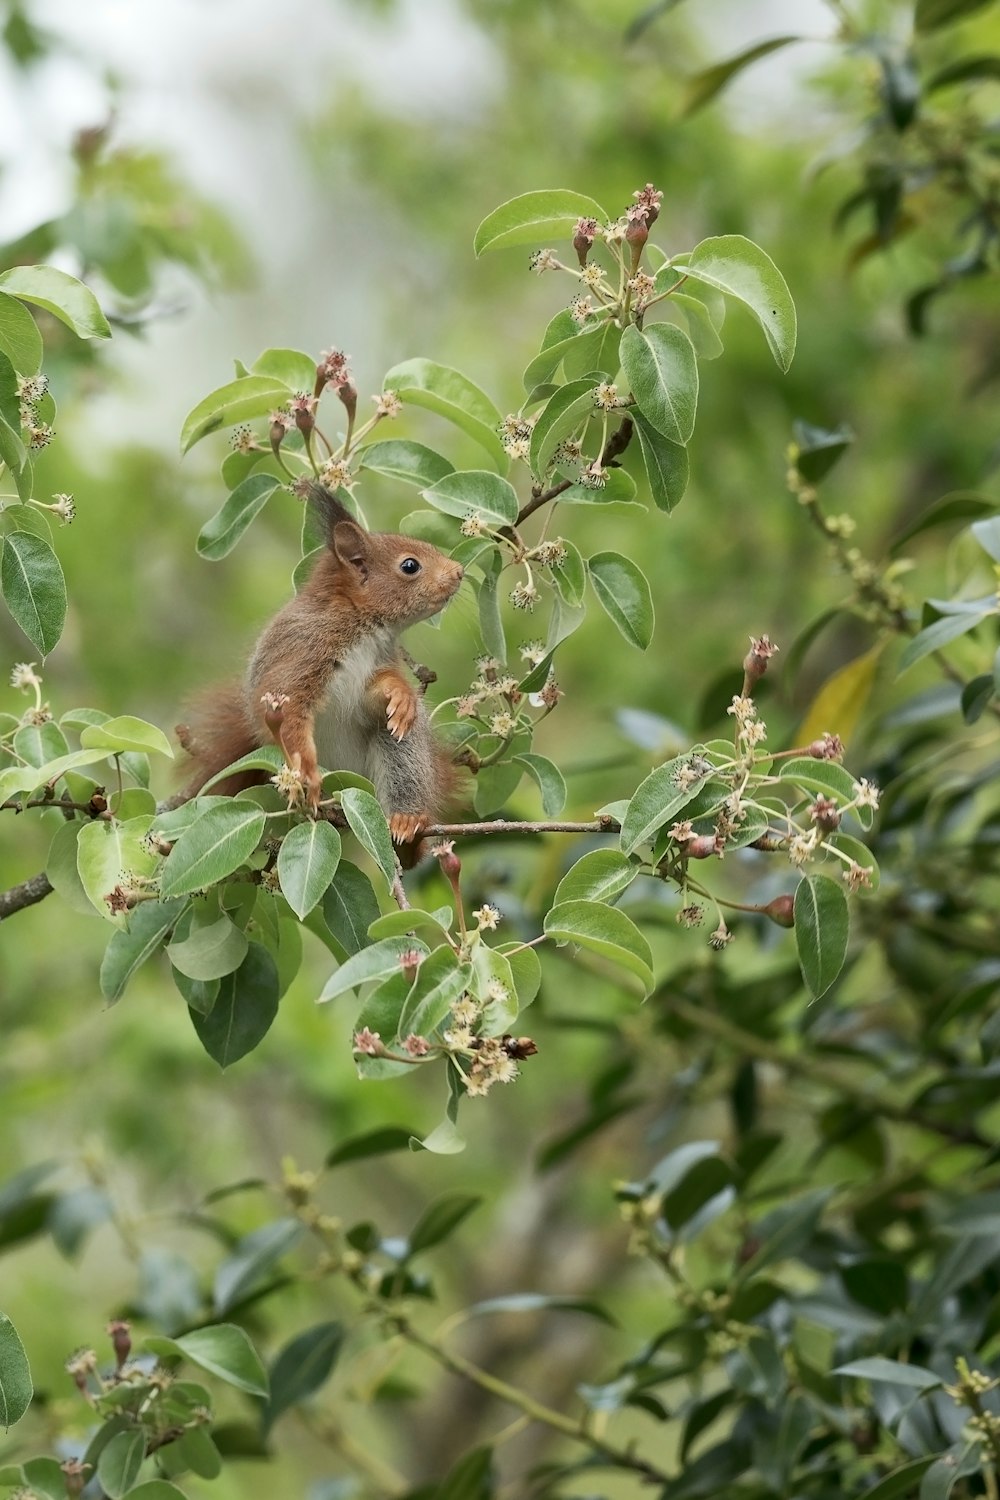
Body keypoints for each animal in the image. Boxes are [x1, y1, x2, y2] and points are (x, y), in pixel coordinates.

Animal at [182, 483, 464, 846]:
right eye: (410, 565)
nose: (459, 571)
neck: (364, 629)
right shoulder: (304, 652)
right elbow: (290, 713)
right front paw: (308, 773)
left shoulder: (375, 665)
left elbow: (374, 699)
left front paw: (400, 693)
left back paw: (407, 819)